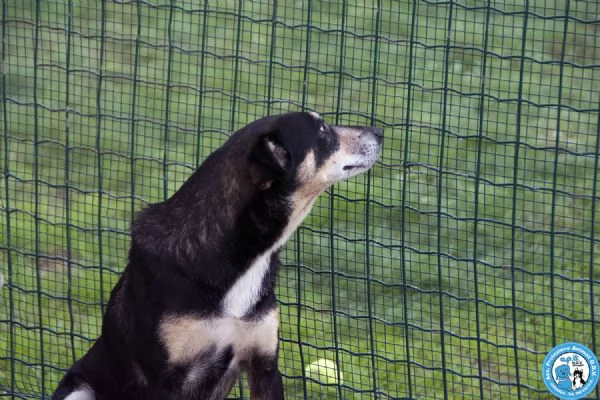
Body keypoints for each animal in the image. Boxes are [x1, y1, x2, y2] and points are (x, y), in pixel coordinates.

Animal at [54, 111, 382, 400]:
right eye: (323, 132)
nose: (379, 132)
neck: (242, 258)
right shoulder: (164, 381)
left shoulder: (264, 365)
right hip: (78, 389)